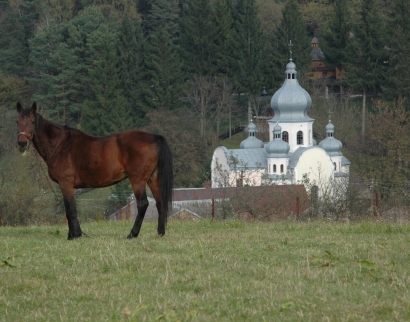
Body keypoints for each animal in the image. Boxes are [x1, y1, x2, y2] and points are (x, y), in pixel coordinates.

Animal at [15, 102, 173, 240]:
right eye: (17, 121)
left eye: (32, 122)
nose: (22, 143)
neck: (60, 145)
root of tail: (154, 137)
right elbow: (69, 209)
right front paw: (74, 234)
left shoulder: (66, 183)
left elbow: (70, 209)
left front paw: (74, 235)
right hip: (153, 178)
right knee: (159, 203)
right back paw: (160, 233)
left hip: (137, 180)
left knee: (143, 204)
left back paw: (132, 234)